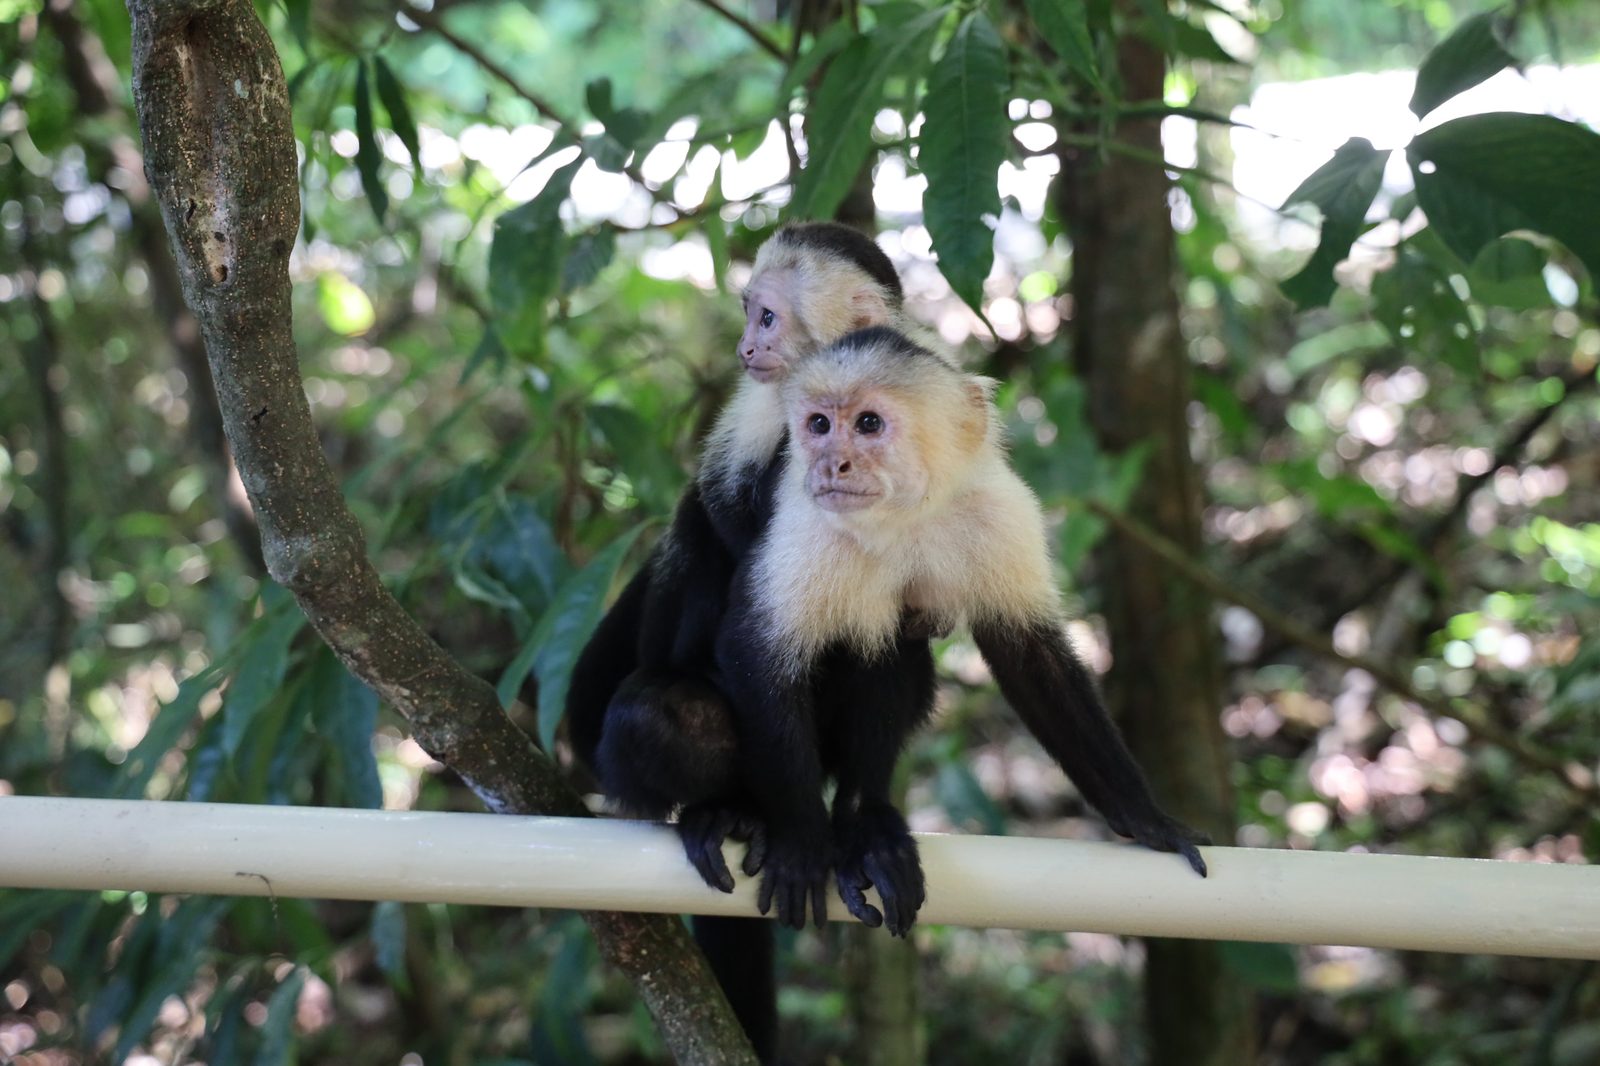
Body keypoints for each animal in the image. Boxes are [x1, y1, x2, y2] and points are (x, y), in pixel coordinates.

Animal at [712, 326, 1208, 935]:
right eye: (819, 425)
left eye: (869, 424)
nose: (832, 465)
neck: (904, 518)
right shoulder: (805, 524)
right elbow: (753, 654)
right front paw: (803, 843)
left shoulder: (999, 513)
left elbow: (1031, 657)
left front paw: (1147, 819)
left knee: (886, 648)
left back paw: (864, 828)